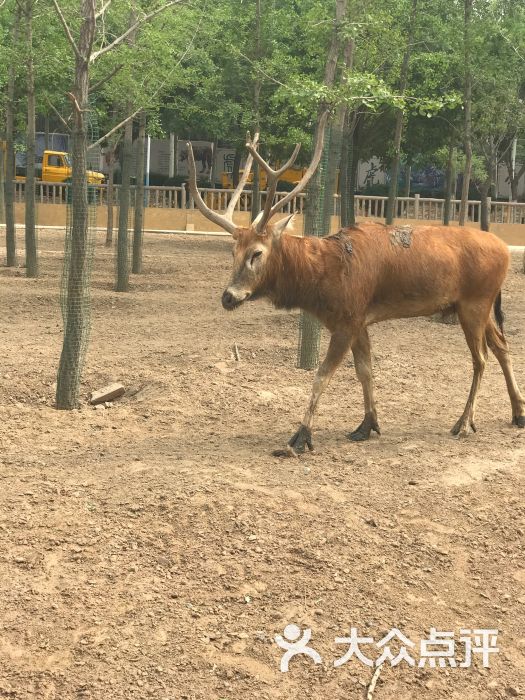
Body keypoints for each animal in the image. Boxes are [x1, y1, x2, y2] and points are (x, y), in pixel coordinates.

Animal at [186, 115, 520, 460]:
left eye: (257, 253)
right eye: (233, 252)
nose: (228, 297)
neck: (322, 281)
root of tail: (504, 250)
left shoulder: (347, 320)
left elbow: (322, 375)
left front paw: (299, 438)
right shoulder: (360, 320)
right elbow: (365, 370)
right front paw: (367, 425)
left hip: (474, 303)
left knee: (481, 358)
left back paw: (464, 423)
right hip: (482, 305)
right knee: (502, 346)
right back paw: (517, 412)